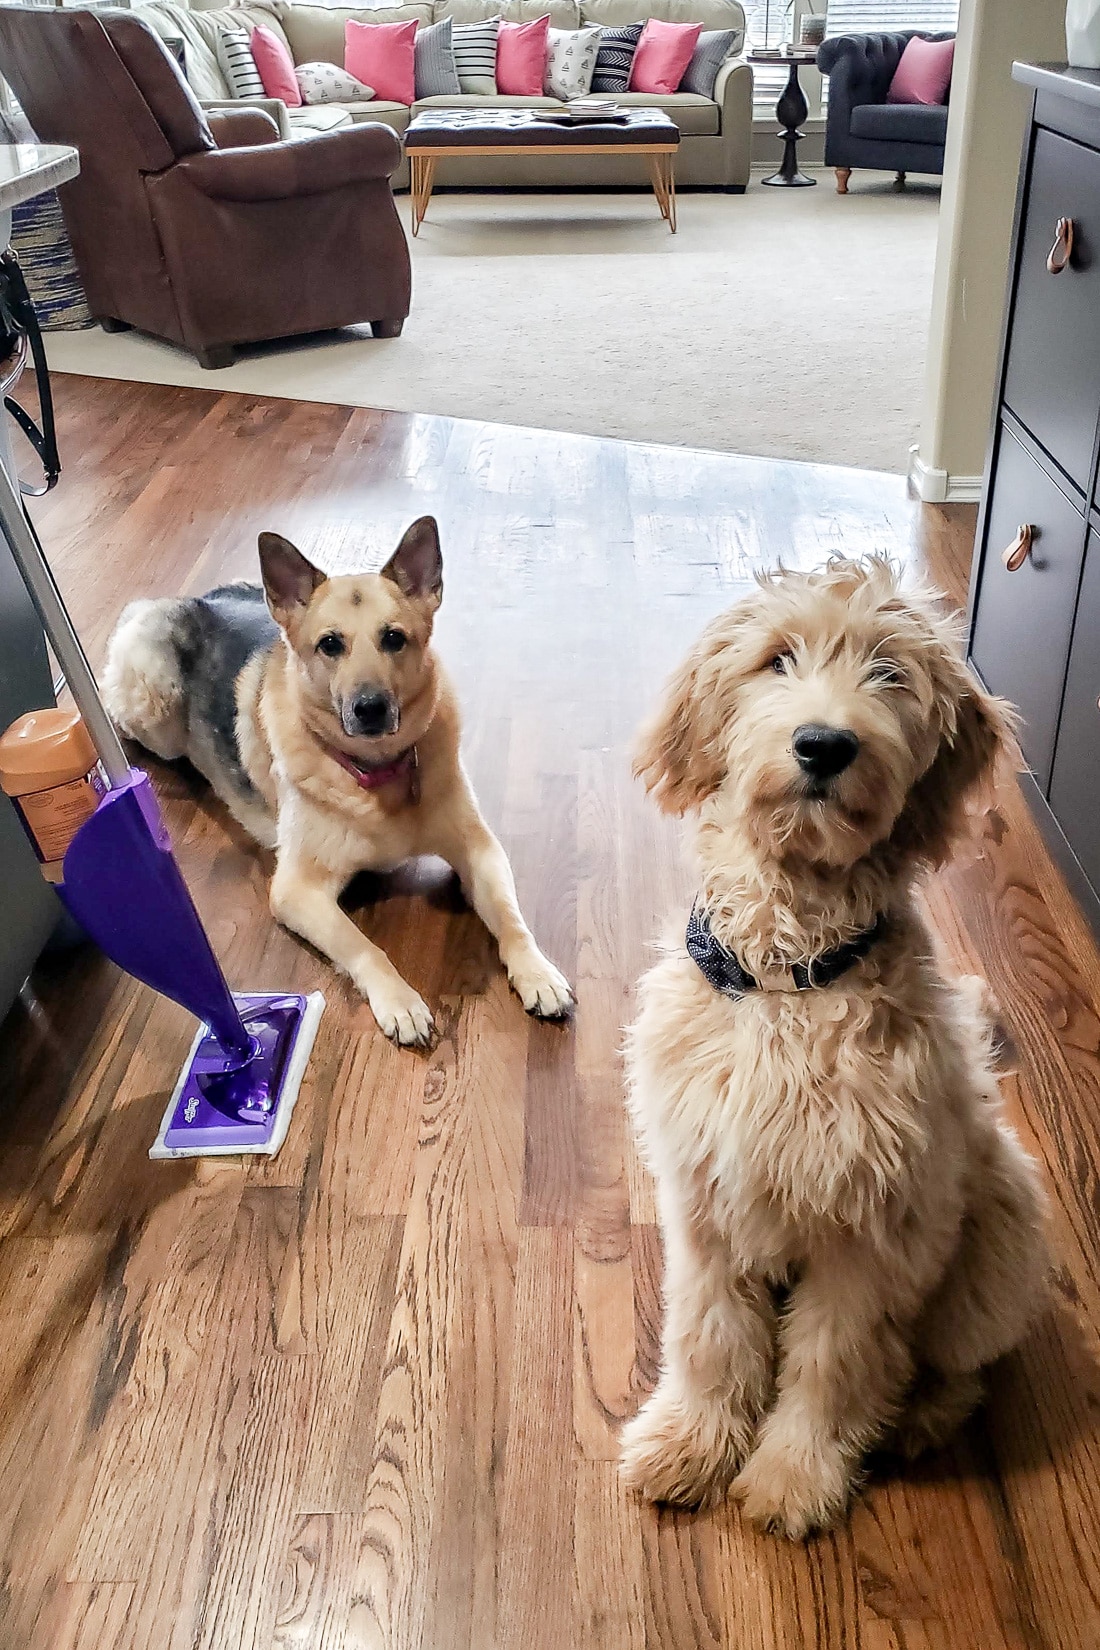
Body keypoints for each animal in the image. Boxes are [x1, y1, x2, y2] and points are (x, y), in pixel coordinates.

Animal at [101, 514, 577, 1042]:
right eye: (330, 645)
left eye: (394, 639)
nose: (370, 708)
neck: (375, 769)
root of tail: (188, 599)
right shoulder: (296, 891)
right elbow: (363, 945)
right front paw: (399, 1000)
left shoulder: (480, 850)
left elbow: (511, 917)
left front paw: (535, 970)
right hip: (154, 707)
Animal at [620, 554, 1048, 1531]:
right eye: (777, 659)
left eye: (889, 673)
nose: (825, 744)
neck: (789, 979)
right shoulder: (704, 1202)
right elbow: (708, 1335)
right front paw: (691, 1443)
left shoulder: (872, 1230)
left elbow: (835, 1362)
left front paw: (793, 1476)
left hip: (997, 1235)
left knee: (958, 1366)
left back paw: (921, 1416)